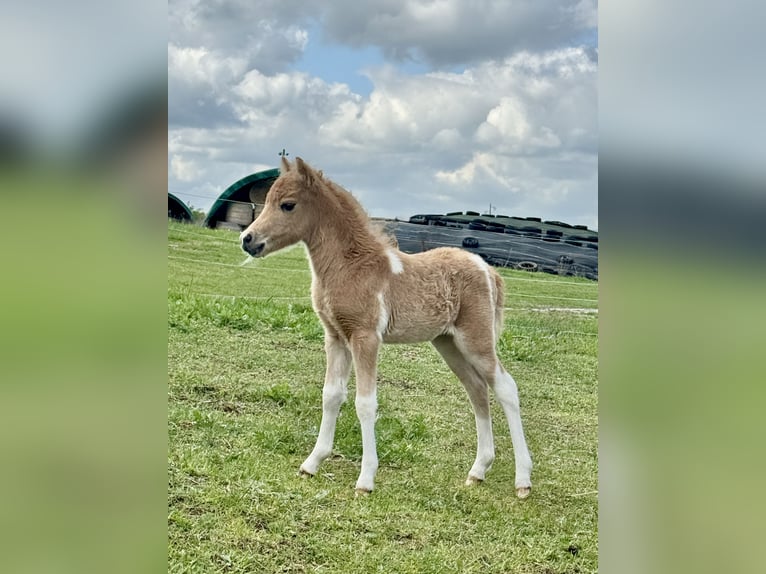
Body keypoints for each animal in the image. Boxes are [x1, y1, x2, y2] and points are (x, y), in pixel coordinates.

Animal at [240, 157, 533, 498]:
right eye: (267, 201)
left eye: (287, 205)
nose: (247, 239)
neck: (352, 266)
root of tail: (487, 269)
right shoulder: (336, 337)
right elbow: (331, 395)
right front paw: (312, 463)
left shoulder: (365, 337)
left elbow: (365, 403)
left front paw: (365, 480)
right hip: (447, 342)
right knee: (477, 389)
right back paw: (478, 471)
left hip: (476, 339)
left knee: (505, 387)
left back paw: (522, 481)